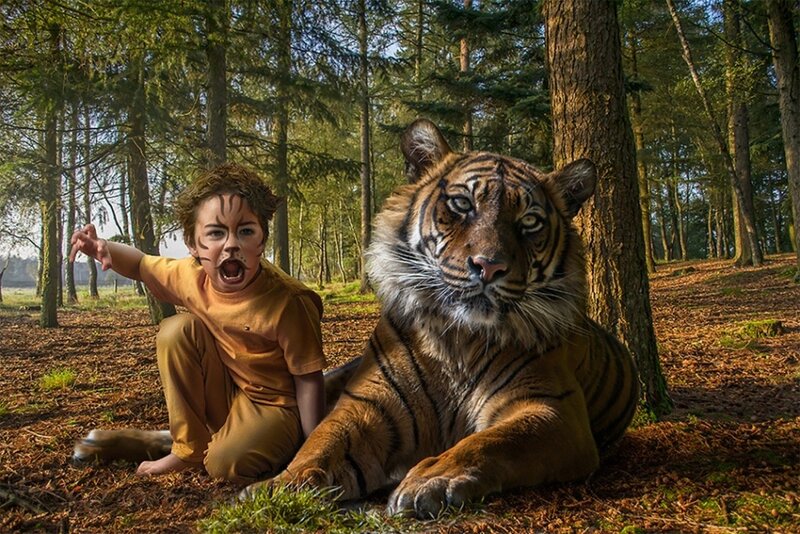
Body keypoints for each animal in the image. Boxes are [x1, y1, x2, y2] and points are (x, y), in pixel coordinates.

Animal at [238, 118, 640, 518]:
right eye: (462, 204)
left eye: (529, 221)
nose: (489, 266)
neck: (459, 338)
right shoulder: (368, 403)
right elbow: (322, 442)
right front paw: (280, 486)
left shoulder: (553, 409)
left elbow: (492, 441)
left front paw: (431, 479)